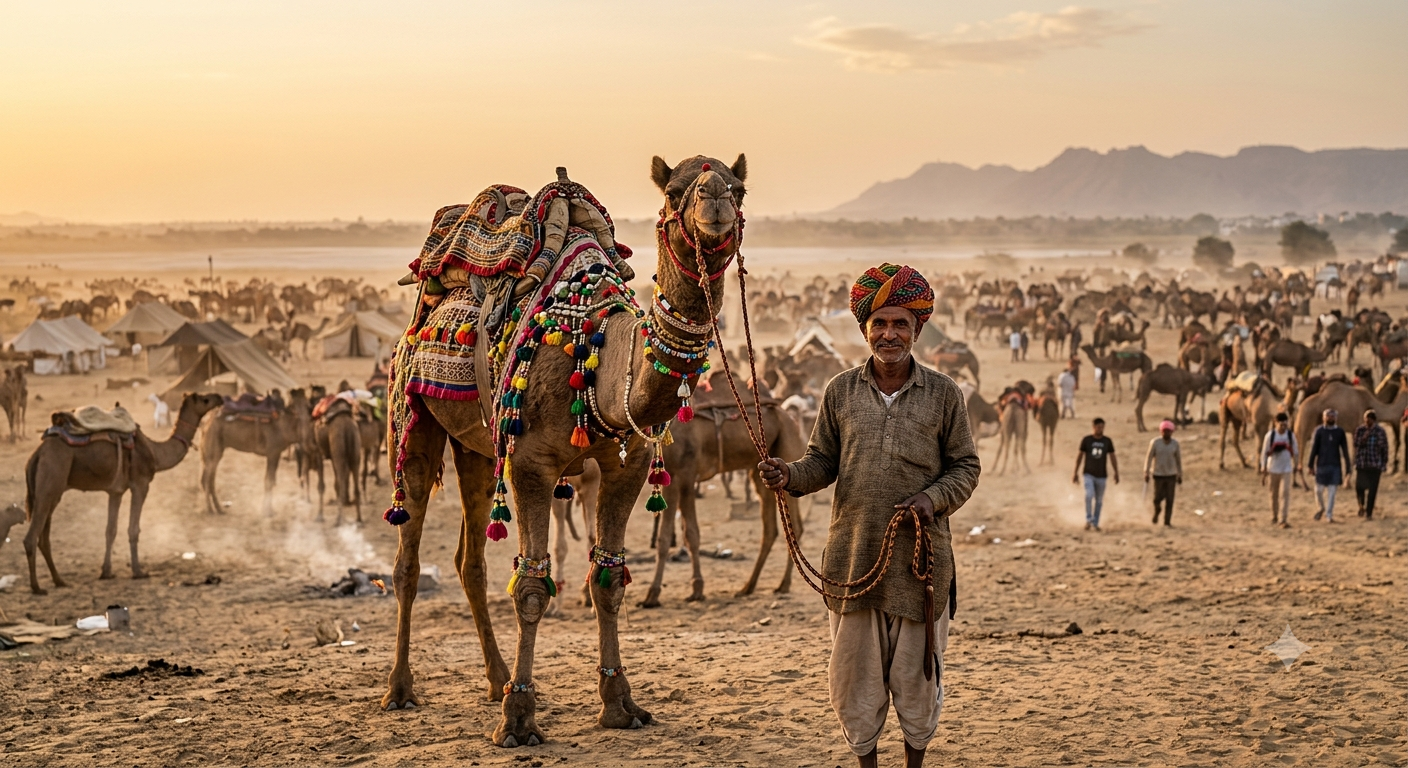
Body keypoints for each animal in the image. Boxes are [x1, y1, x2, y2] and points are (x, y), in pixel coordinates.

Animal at [22, 393, 224, 594]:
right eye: (205, 400)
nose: (220, 397)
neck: (154, 451)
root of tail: (37, 454)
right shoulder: (141, 484)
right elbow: (133, 529)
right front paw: (138, 571)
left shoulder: (115, 491)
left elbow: (110, 530)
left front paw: (106, 572)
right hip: (51, 479)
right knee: (31, 537)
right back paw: (36, 587)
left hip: (52, 492)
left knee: (44, 537)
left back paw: (59, 581)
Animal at [381, 154, 749, 749]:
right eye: (673, 191)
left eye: (739, 188)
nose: (713, 197)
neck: (600, 354)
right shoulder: (531, 462)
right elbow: (532, 587)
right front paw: (518, 720)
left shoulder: (627, 463)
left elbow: (608, 580)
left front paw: (620, 703)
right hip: (412, 418)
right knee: (408, 558)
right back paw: (401, 690)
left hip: (478, 448)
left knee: (470, 561)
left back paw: (496, 680)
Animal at [639, 387, 807, 608]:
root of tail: (790, 419)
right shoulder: (679, 476)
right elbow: (686, 534)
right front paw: (695, 589)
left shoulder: (682, 474)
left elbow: (676, 536)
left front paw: (654, 594)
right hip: (761, 470)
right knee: (770, 530)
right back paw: (748, 587)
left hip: (786, 449)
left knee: (794, 526)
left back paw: (783, 584)